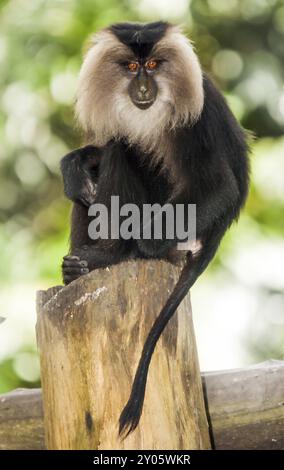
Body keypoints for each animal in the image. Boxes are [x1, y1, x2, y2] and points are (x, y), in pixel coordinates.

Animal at [59, 23, 248, 436]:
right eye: (132, 66)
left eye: (154, 65)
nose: (143, 88)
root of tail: (217, 233)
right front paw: (76, 163)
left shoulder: (195, 119)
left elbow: (218, 186)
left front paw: (133, 246)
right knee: (98, 174)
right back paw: (78, 265)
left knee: (122, 150)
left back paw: (111, 256)